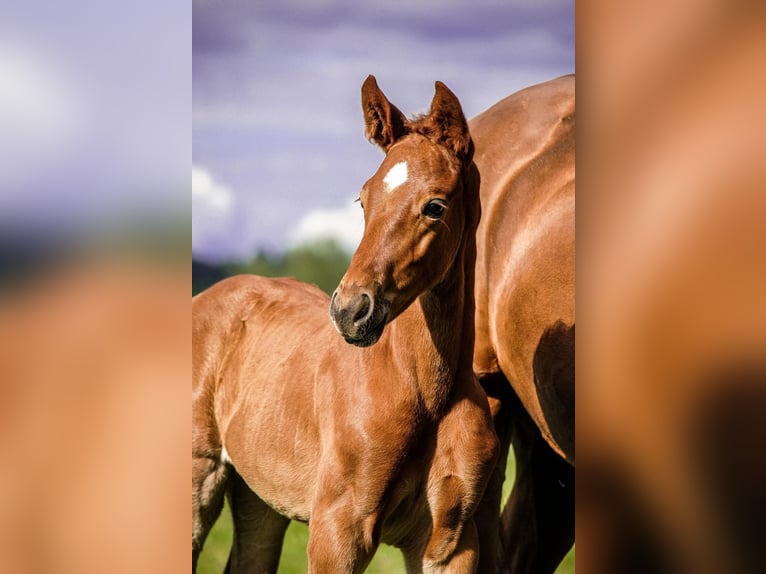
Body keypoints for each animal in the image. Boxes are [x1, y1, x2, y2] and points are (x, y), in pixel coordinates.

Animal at [192, 76, 498, 573]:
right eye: (363, 199)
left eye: (435, 206)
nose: (350, 310)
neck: (423, 391)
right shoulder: (337, 531)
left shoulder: (450, 543)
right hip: (200, 474)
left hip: (261, 495)